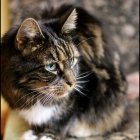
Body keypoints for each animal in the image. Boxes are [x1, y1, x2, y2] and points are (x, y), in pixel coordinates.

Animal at [1, 3, 128, 140]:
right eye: (51, 66)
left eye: (71, 60)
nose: (72, 83)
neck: (31, 93)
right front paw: (36, 132)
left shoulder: (86, 90)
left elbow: (64, 117)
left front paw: (48, 134)